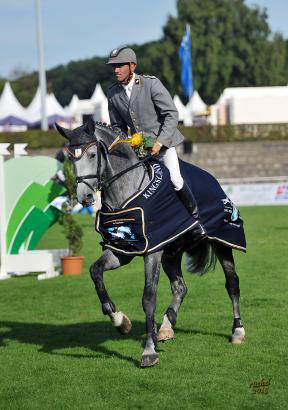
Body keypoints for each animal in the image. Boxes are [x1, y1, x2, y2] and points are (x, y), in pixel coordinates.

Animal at [55, 118, 245, 368]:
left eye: (93, 154)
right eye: (70, 158)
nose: (84, 197)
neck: (125, 192)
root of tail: (213, 179)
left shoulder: (151, 253)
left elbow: (148, 298)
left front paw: (148, 351)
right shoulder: (124, 250)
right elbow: (95, 272)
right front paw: (120, 321)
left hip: (221, 242)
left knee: (232, 284)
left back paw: (237, 331)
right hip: (171, 253)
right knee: (180, 287)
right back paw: (165, 327)